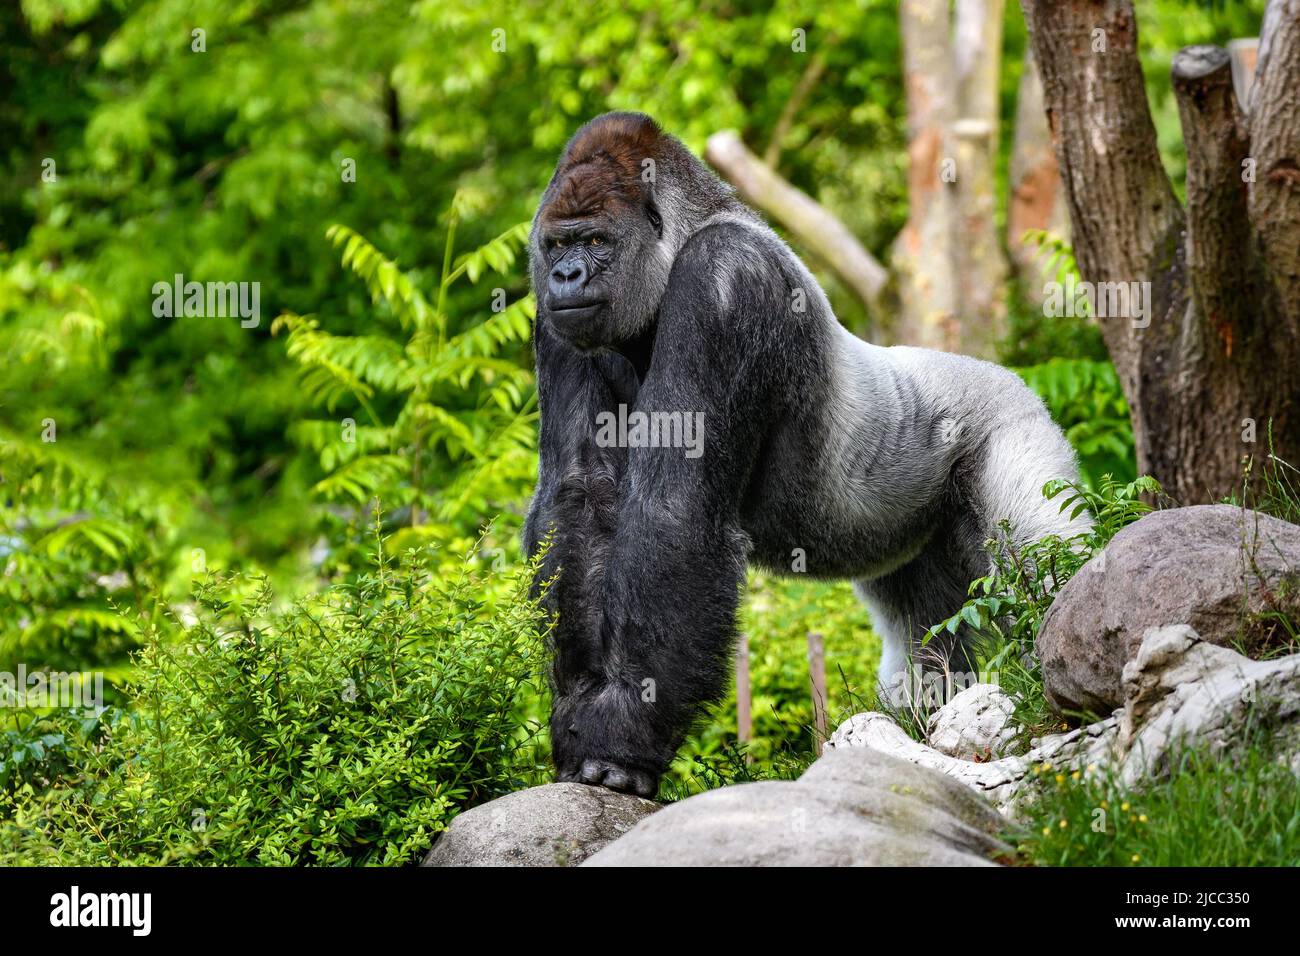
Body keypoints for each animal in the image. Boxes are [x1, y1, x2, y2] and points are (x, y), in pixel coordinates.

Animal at [522, 113, 1081, 801]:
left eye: (596, 240)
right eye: (556, 246)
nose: (566, 277)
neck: (682, 238)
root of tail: (1016, 380)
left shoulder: (725, 282)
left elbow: (674, 511)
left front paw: (621, 733)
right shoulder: (557, 321)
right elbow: (580, 499)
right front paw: (579, 714)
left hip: (1014, 426)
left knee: (1045, 565)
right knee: (927, 633)